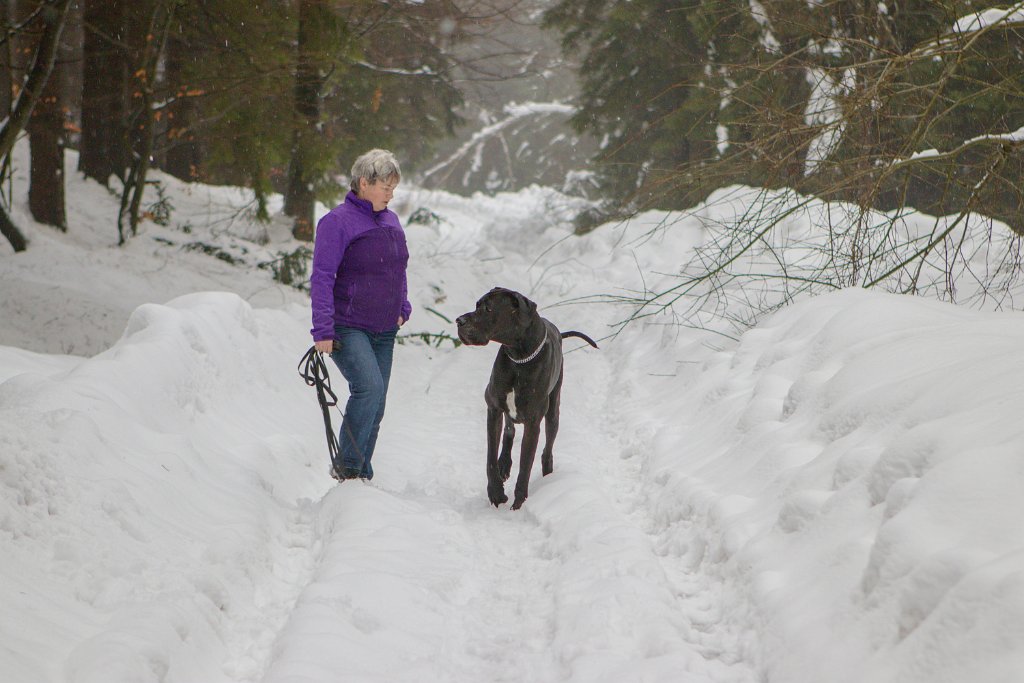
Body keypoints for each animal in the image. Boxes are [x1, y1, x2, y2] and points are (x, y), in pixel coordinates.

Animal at [458, 286, 598, 507]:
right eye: (477, 305)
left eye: (488, 308)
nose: (459, 321)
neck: (518, 360)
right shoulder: (494, 409)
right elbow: (490, 457)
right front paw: (496, 491)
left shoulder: (533, 423)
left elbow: (526, 465)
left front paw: (518, 503)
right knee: (509, 431)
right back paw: (504, 464)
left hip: (553, 412)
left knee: (547, 448)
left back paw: (548, 475)